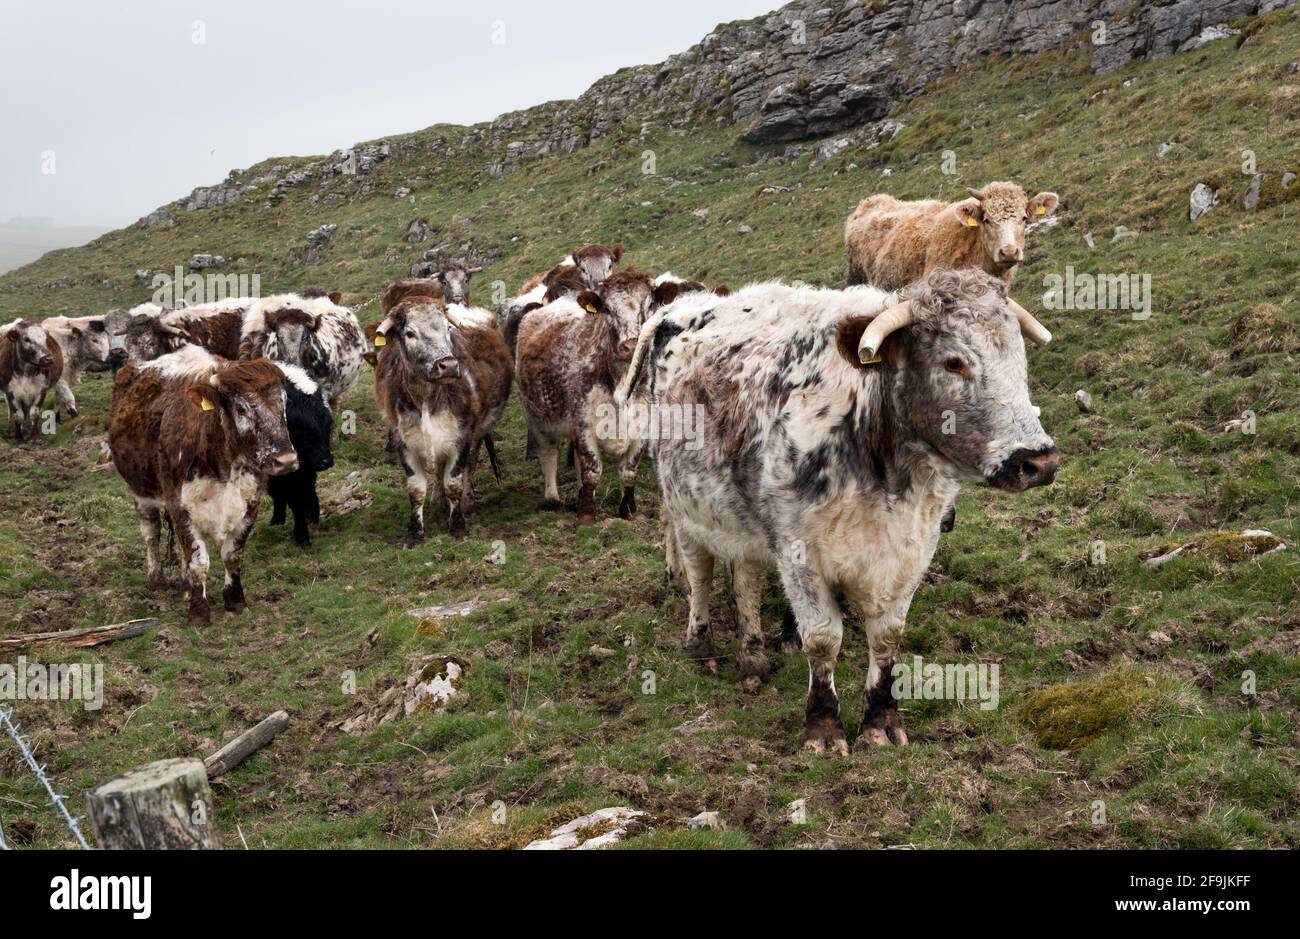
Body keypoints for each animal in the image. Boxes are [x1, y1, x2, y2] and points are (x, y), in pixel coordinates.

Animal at [108, 345, 301, 627]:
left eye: (284, 404)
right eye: (241, 409)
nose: (286, 460)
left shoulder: (250, 503)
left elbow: (232, 555)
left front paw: (235, 601)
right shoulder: (179, 505)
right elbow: (198, 561)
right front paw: (199, 613)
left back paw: (185, 586)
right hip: (140, 490)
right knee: (151, 532)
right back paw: (156, 578)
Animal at [266, 367, 335, 547]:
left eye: (328, 424)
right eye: (301, 429)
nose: (326, 462)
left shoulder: (303, 469)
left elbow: (301, 496)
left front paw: (304, 530)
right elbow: (283, 496)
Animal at [373, 295, 512, 541]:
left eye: (447, 328)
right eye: (410, 333)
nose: (448, 365)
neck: (427, 400)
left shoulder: (461, 438)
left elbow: (453, 483)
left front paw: (457, 526)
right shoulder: (404, 444)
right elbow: (416, 489)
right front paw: (415, 533)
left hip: (478, 432)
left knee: (470, 463)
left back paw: (466, 500)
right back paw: (437, 501)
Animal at [515, 269, 673, 524]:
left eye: (650, 304)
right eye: (607, 308)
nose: (631, 345)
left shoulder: (643, 426)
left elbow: (628, 472)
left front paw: (627, 510)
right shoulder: (583, 423)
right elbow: (592, 470)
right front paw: (587, 513)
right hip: (536, 417)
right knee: (549, 452)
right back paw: (552, 497)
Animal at [616, 268, 1058, 754]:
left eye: (1019, 356)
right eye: (953, 362)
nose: (1038, 461)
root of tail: (678, 307)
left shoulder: (911, 551)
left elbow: (887, 637)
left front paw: (881, 720)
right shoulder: (798, 552)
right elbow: (823, 638)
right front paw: (824, 728)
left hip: (739, 517)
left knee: (745, 580)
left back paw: (752, 657)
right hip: (685, 504)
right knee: (699, 573)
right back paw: (702, 646)